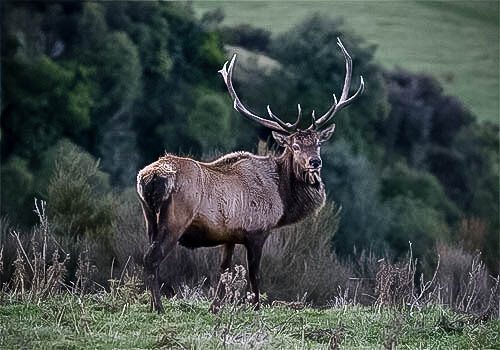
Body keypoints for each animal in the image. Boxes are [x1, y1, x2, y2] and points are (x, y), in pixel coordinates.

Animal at [137, 38, 364, 312]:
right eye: (295, 146)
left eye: (318, 143)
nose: (315, 162)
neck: (282, 197)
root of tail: (149, 178)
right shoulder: (257, 230)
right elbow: (255, 274)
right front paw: (255, 307)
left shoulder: (229, 235)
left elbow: (224, 271)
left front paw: (215, 308)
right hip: (174, 220)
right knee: (151, 259)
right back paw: (158, 307)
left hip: (149, 218)